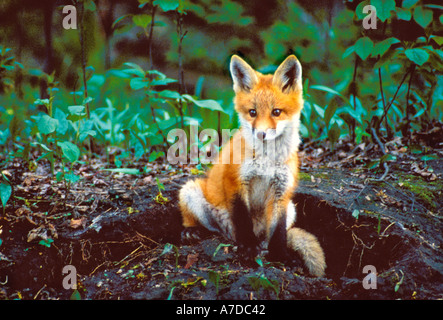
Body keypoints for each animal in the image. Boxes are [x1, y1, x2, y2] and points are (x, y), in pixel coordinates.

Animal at [179, 53, 328, 276]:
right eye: (252, 112)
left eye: (276, 112)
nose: (261, 134)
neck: (267, 160)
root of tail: (229, 234)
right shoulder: (236, 182)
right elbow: (243, 219)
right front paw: (248, 249)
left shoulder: (282, 190)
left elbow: (279, 233)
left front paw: (281, 257)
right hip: (191, 191)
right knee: (208, 228)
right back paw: (192, 232)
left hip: (291, 209)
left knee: (267, 239)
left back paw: (263, 248)